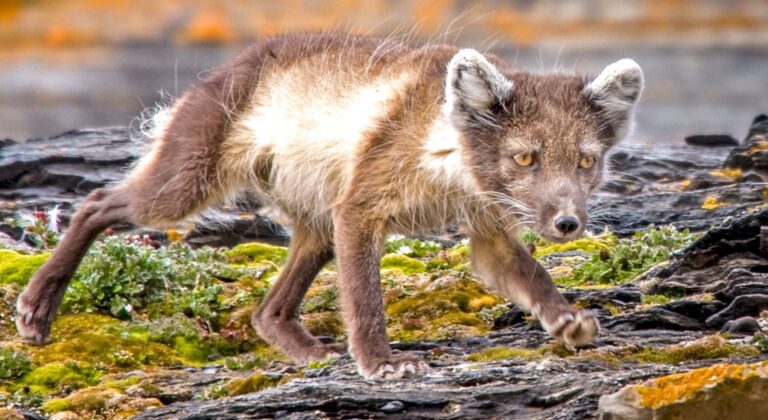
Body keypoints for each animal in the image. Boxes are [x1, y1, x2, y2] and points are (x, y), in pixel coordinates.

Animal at [16, 32, 643, 380]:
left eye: (585, 161)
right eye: (525, 158)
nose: (567, 223)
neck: (445, 158)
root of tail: (223, 69)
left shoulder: (486, 226)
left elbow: (530, 274)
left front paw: (566, 321)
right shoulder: (361, 207)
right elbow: (365, 301)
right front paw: (382, 363)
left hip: (316, 225)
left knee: (267, 311)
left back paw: (309, 351)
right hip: (186, 186)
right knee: (97, 202)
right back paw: (37, 307)